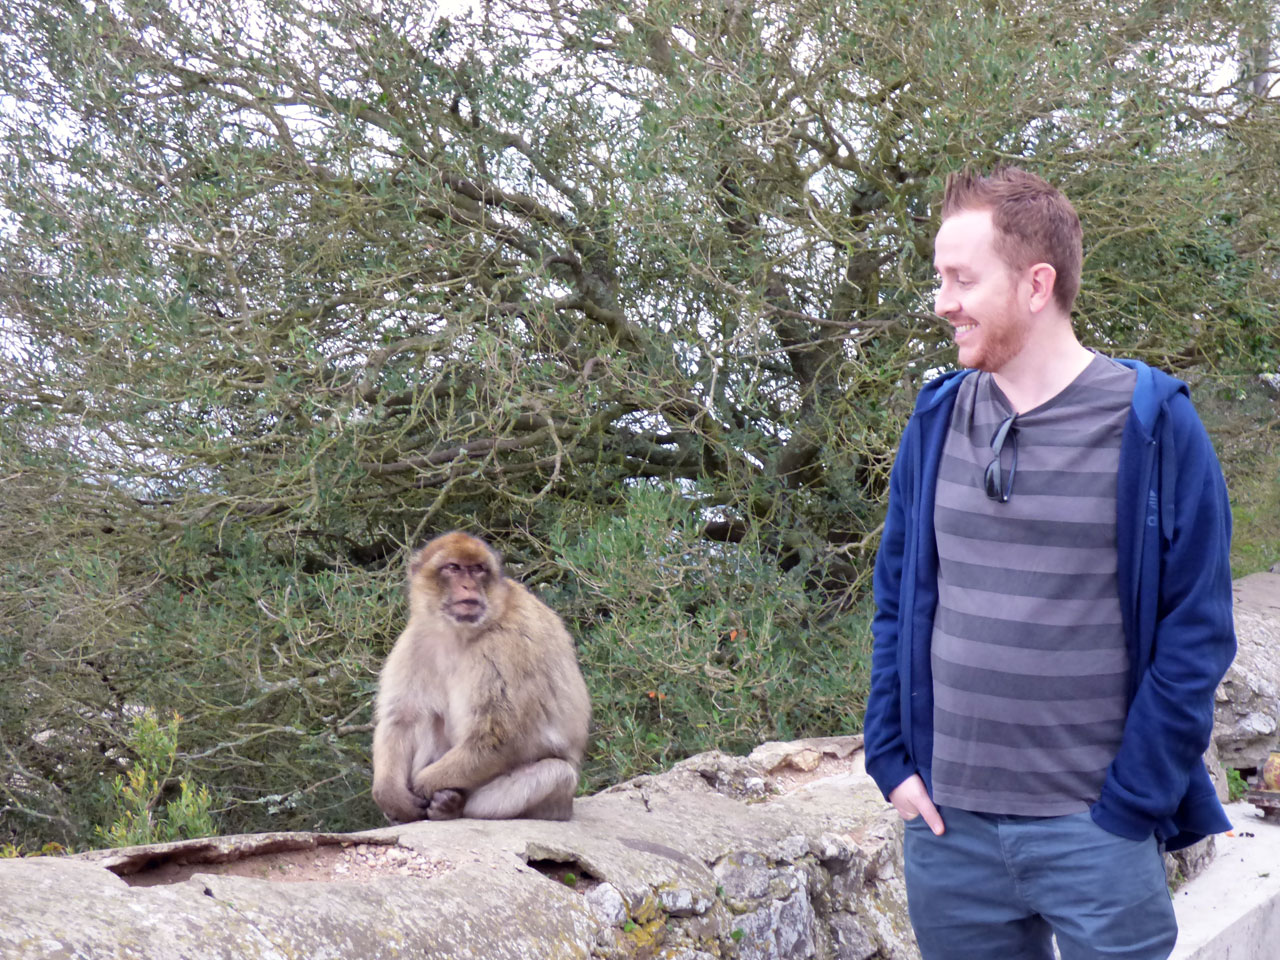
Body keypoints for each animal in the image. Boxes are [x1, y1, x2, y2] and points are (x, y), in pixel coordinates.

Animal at [371, 529, 588, 824]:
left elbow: (499, 736)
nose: (468, 587)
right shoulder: (415, 640)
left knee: (556, 773)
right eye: (453, 568)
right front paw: (391, 795)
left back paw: (451, 806)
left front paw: (422, 786)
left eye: (477, 570)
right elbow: (401, 718)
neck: (459, 633)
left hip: (553, 799)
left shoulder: (506, 646)